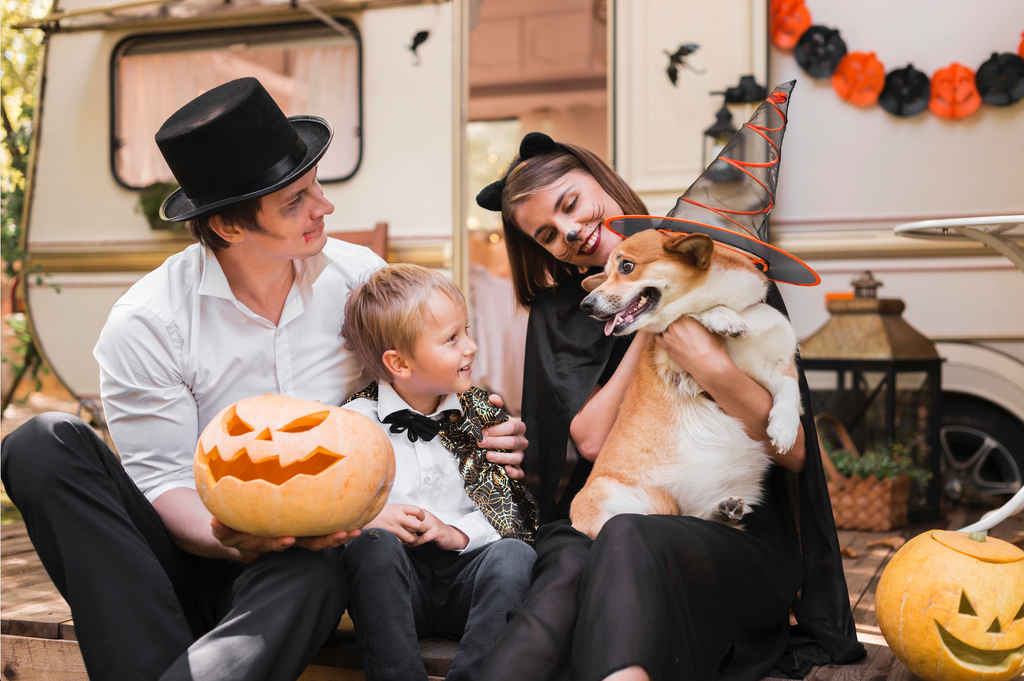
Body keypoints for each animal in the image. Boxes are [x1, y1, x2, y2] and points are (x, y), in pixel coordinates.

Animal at [569, 231, 798, 540]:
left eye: (626, 267)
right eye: (605, 274)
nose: (586, 305)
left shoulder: (778, 366)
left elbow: (790, 390)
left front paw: (785, 430)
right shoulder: (675, 358)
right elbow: (686, 312)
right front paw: (721, 316)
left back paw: (723, 513)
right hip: (610, 497)